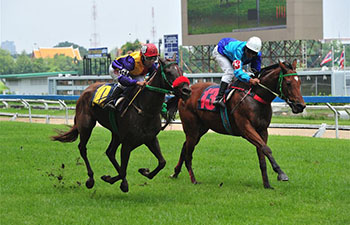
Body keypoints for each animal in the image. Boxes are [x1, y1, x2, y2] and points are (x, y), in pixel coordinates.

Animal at [51, 57, 191, 192]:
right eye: (168, 72)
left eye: (181, 71)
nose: (186, 90)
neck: (145, 108)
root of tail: (85, 92)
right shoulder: (127, 143)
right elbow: (123, 170)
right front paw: (110, 179)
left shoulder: (150, 138)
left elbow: (162, 162)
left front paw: (144, 172)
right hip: (86, 125)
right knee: (82, 148)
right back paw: (90, 179)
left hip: (116, 133)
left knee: (110, 152)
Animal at [172, 59, 306, 188]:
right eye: (288, 83)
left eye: (299, 82)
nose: (301, 106)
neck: (256, 97)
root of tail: (187, 92)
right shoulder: (246, 129)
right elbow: (266, 149)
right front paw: (281, 173)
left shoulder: (262, 130)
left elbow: (262, 155)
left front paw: (267, 185)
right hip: (192, 128)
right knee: (188, 153)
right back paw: (193, 180)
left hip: (200, 129)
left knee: (185, 146)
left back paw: (175, 173)